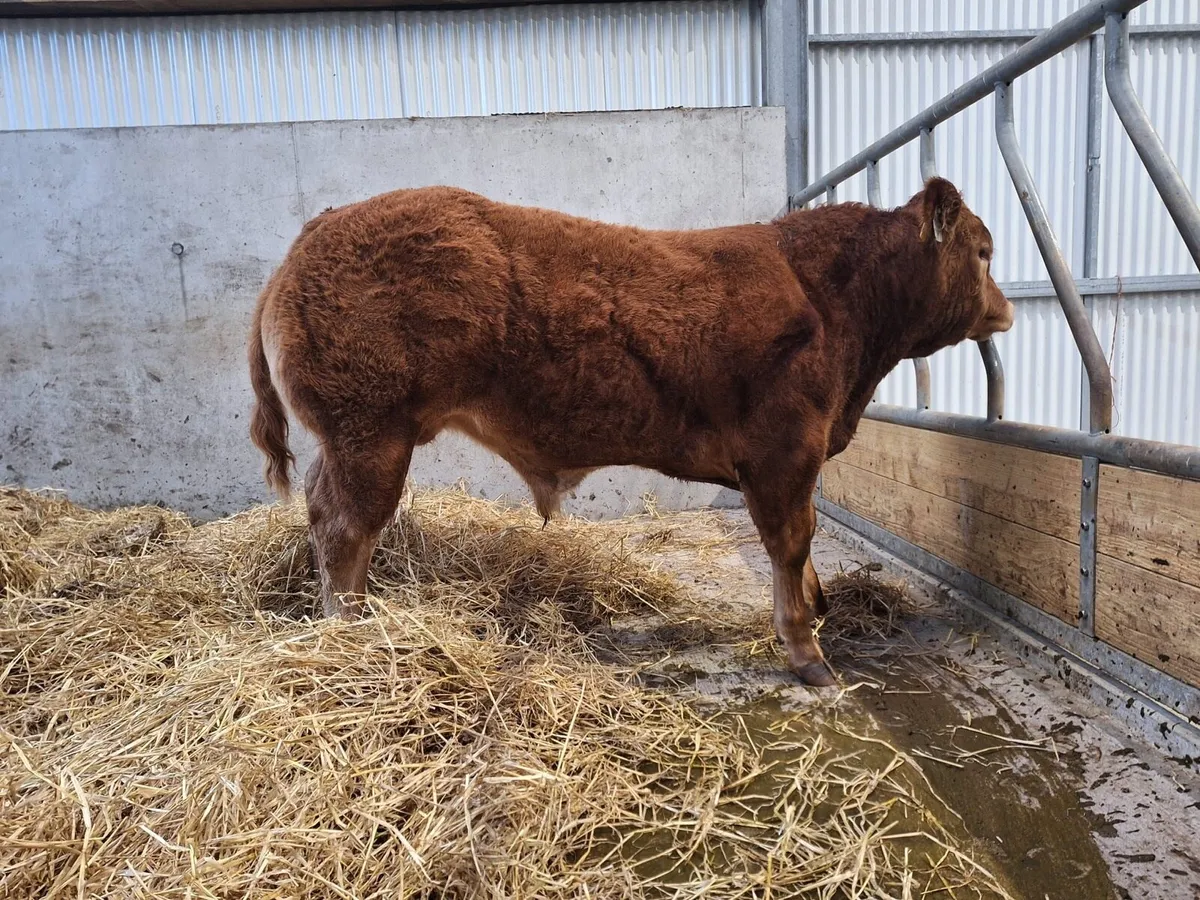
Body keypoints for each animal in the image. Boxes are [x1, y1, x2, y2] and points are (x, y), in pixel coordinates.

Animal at [248, 177, 1013, 686]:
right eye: (983, 251)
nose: (1005, 310)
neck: (834, 305)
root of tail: (310, 237)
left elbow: (802, 540)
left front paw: (819, 608)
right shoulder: (785, 448)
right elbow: (792, 540)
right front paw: (807, 653)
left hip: (356, 438)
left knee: (322, 510)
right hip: (370, 434)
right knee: (345, 527)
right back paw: (350, 631)